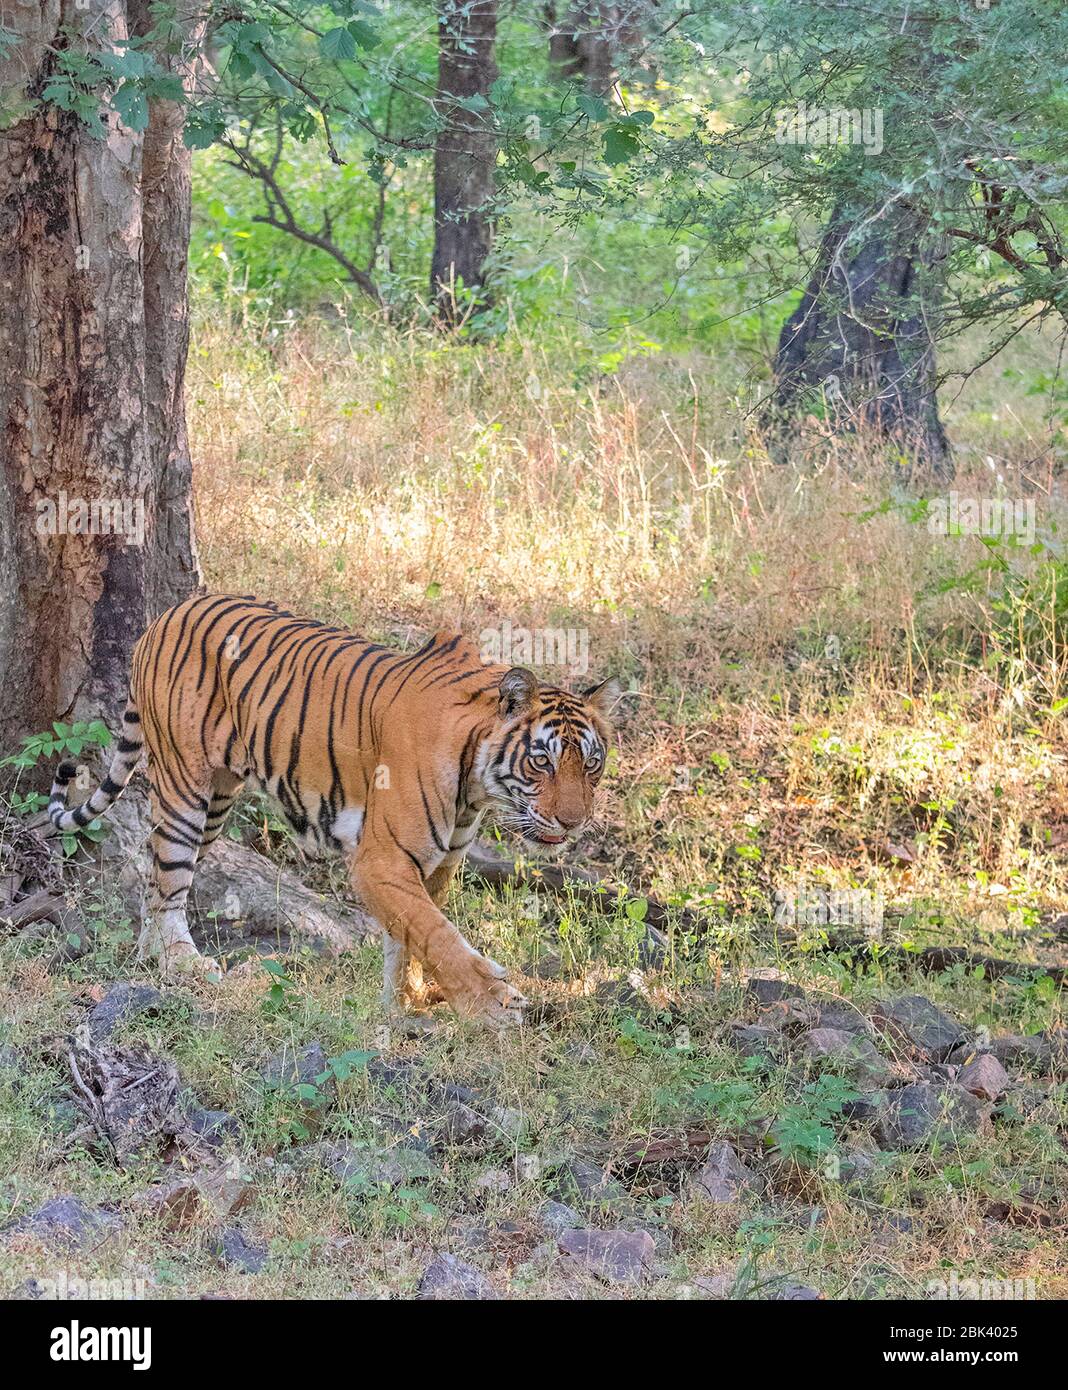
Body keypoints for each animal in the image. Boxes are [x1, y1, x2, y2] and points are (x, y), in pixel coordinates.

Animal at [47, 592, 617, 1028]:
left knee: (156, 876)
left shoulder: (435, 864)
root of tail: (166, 613)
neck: (475, 785)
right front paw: (492, 1005)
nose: (573, 823)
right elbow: (436, 933)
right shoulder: (381, 859)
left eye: (591, 765)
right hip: (186, 787)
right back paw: (182, 964)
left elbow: (411, 933)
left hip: (218, 801)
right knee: (169, 877)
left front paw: (406, 1001)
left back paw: (150, 956)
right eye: (542, 761)